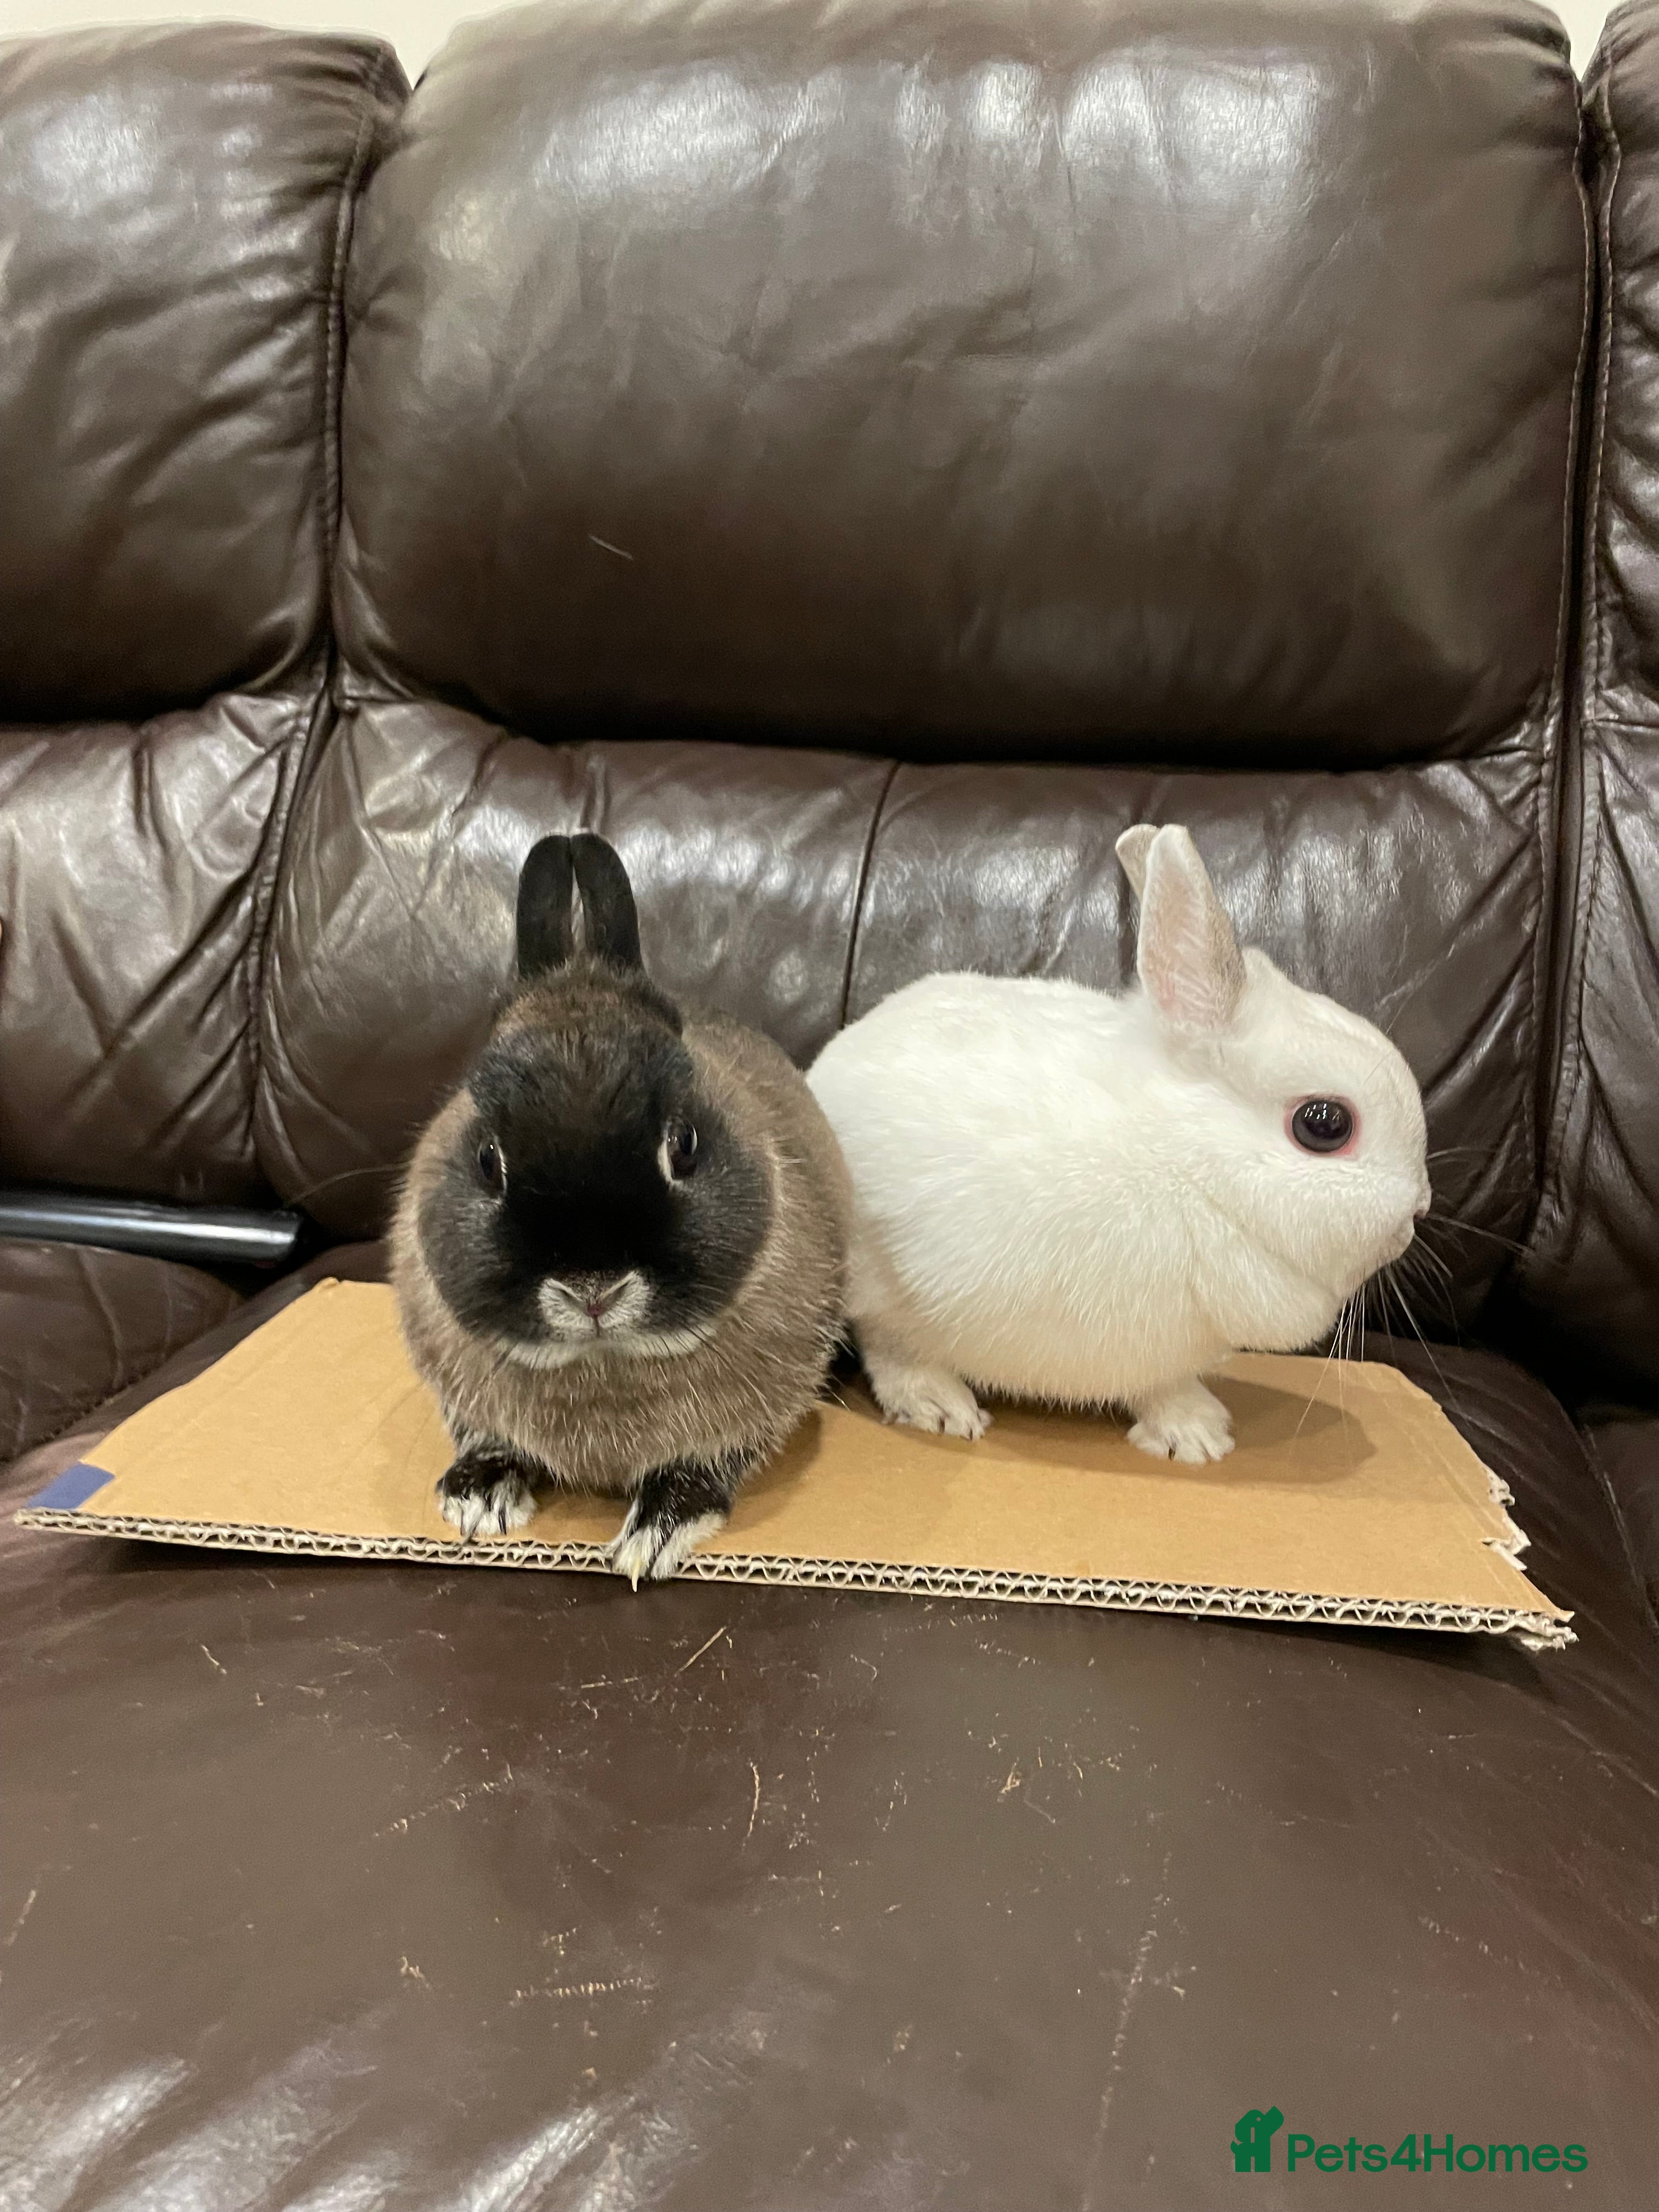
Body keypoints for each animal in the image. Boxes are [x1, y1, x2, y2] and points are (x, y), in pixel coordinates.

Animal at [391, 831, 851, 1583]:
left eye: (683, 1145)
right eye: (488, 1159)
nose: (593, 1290)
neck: (601, 1360)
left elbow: (699, 1471)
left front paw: (652, 1541)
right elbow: (487, 1439)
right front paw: (478, 1504)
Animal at [806, 823, 1430, 1464]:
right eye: (1325, 1125)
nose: (1419, 1211)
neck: (1190, 1168)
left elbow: (1165, 1389)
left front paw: (1199, 1434)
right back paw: (938, 1403)